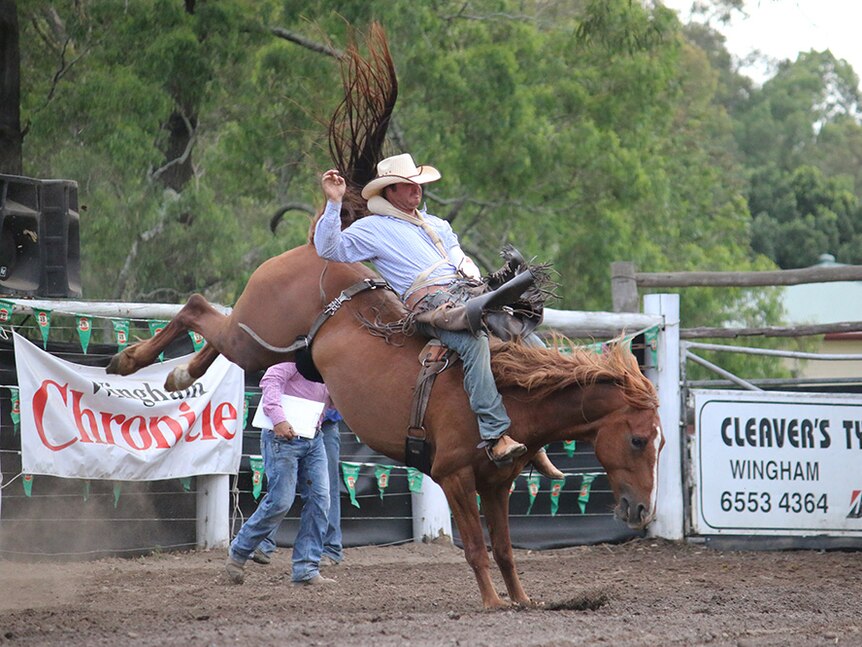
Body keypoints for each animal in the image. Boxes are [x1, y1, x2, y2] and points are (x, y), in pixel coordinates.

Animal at [106, 246, 660, 612]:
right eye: (637, 439)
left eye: (658, 441)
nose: (641, 511)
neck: (508, 396)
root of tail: (310, 249)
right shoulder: (453, 476)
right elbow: (475, 546)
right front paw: (492, 603)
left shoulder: (496, 483)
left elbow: (503, 547)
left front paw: (523, 599)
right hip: (257, 333)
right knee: (198, 307)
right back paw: (130, 360)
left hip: (266, 346)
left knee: (211, 331)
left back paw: (178, 374)